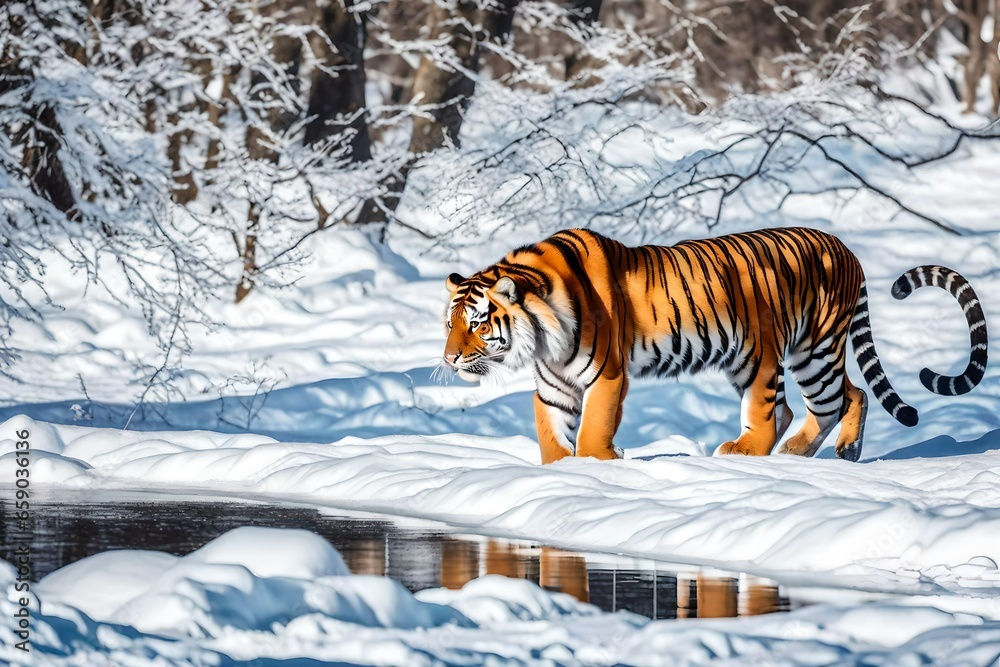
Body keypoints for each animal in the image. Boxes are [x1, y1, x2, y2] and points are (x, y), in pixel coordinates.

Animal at [442, 227, 989, 464]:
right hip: (794, 353)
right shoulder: (554, 385)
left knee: (807, 405)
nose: (448, 357)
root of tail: (847, 248)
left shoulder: (607, 373)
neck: (544, 337)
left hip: (788, 351)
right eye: (449, 322)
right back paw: (820, 452)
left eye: (477, 324)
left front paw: (599, 463)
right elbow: (551, 431)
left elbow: (595, 424)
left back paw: (761, 450)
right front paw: (559, 470)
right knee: (839, 397)